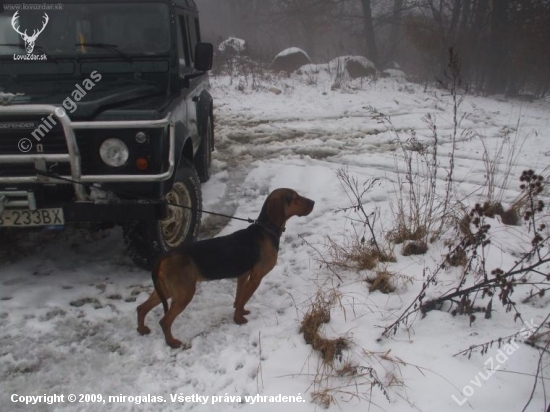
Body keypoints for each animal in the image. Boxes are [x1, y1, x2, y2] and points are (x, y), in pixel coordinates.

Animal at [137, 189, 314, 348]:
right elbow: (244, 299)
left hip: (167, 290)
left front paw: (240, 313)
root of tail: (164, 257)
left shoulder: (243, 276)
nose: (313, 202)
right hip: (184, 293)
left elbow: (239, 299)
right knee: (164, 321)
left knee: (141, 308)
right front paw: (239, 320)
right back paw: (171, 342)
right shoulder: (256, 277)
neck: (266, 229)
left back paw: (141, 329)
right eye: (294, 197)